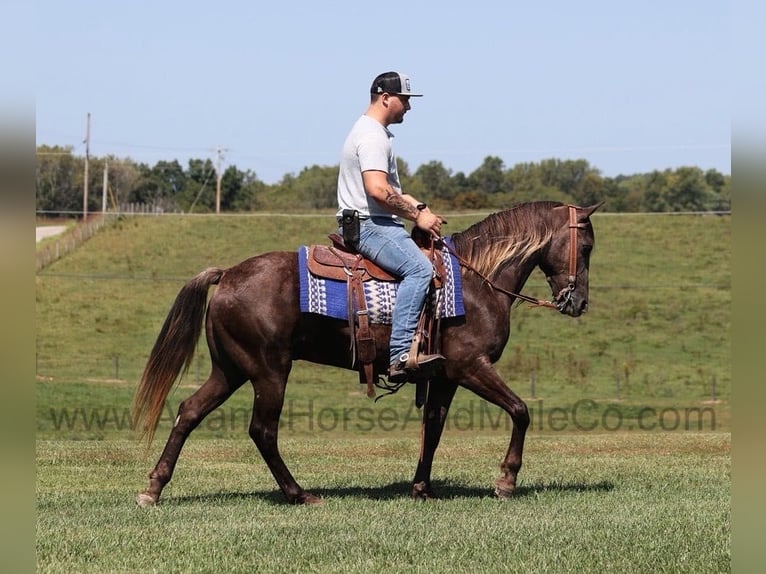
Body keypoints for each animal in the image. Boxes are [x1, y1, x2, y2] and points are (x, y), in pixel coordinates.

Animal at [132, 200, 602, 505]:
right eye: (587, 248)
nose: (578, 302)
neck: (476, 282)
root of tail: (228, 274)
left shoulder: (444, 376)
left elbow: (434, 428)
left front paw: (422, 488)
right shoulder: (470, 367)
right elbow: (521, 410)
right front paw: (505, 481)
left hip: (230, 370)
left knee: (189, 412)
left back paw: (153, 488)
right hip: (268, 371)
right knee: (262, 431)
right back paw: (299, 494)